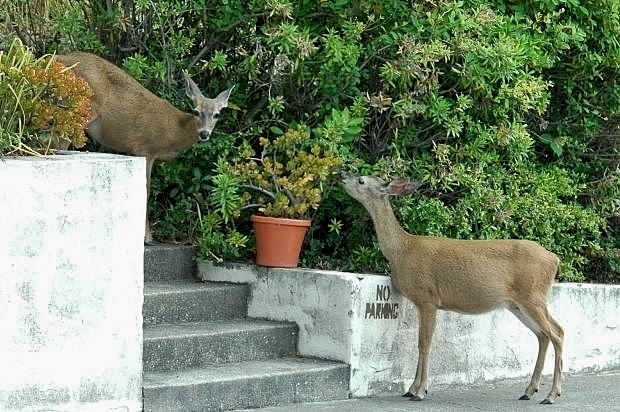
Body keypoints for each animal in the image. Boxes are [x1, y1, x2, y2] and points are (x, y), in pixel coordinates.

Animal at [57, 52, 232, 243]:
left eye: (217, 114)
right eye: (196, 111)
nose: (204, 133)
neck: (175, 131)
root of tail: (62, 58)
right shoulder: (145, 148)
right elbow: (145, 191)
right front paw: (147, 237)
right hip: (83, 106)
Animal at [342, 175, 564, 404]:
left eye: (361, 180)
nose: (342, 178)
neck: (401, 250)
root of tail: (555, 259)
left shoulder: (428, 298)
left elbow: (424, 344)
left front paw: (420, 391)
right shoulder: (422, 302)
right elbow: (420, 343)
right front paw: (411, 389)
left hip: (532, 296)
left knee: (557, 334)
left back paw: (551, 395)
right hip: (518, 304)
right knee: (545, 334)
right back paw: (529, 391)